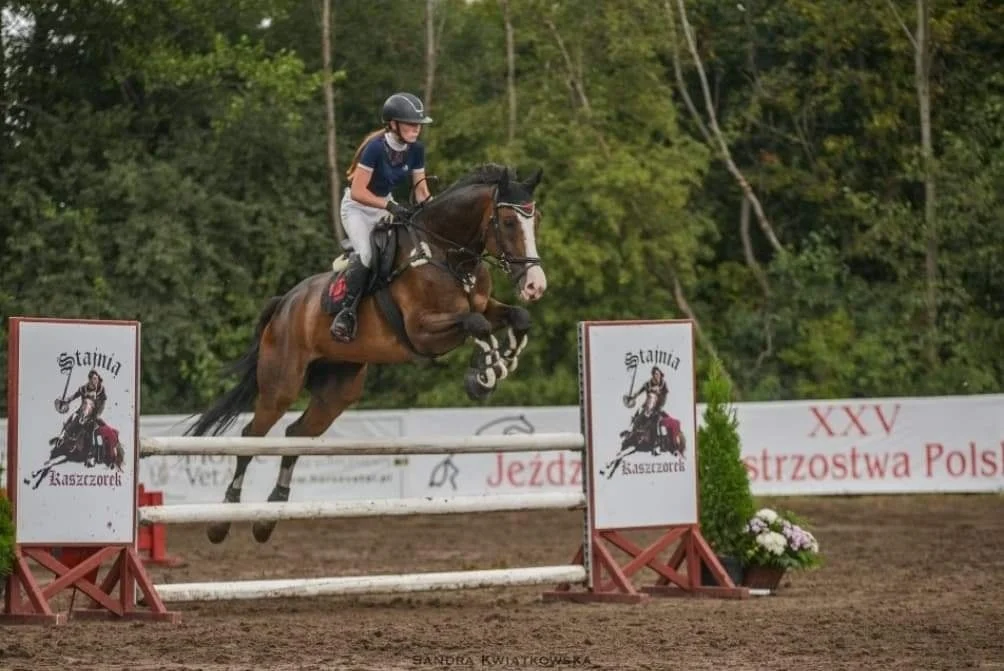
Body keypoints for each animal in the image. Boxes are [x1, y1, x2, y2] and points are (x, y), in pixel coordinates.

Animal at [186, 162, 550, 546]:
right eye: (508, 221)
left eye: (536, 219)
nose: (535, 285)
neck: (445, 255)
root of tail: (284, 304)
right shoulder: (422, 332)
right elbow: (476, 325)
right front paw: (485, 373)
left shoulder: (483, 305)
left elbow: (515, 317)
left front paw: (493, 369)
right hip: (281, 385)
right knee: (250, 438)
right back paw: (223, 518)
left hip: (337, 391)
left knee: (296, 434)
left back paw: (269, 516)